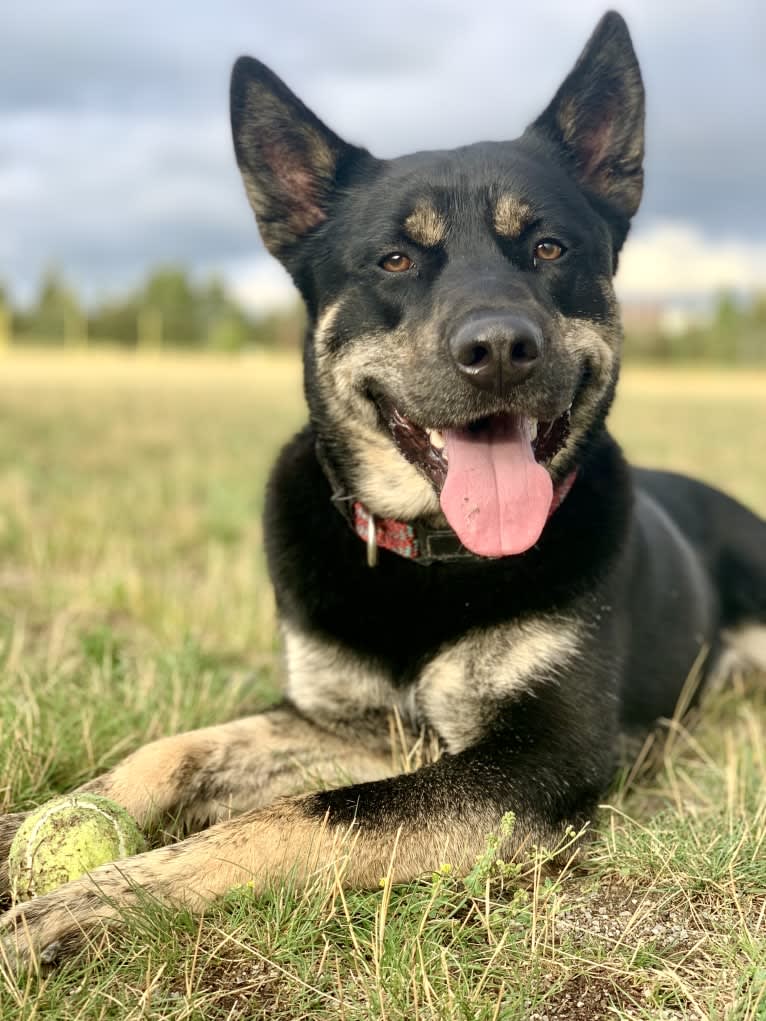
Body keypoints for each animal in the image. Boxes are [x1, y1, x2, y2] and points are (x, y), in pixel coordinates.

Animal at [1, 9, 766, 963]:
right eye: (396, 260)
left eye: (549, 248)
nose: (500, 348)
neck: (430, 560)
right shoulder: (349, 723)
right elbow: (176, 749)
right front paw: (42, 823)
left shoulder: (534, 762)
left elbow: (298, 819)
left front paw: (90, 899)